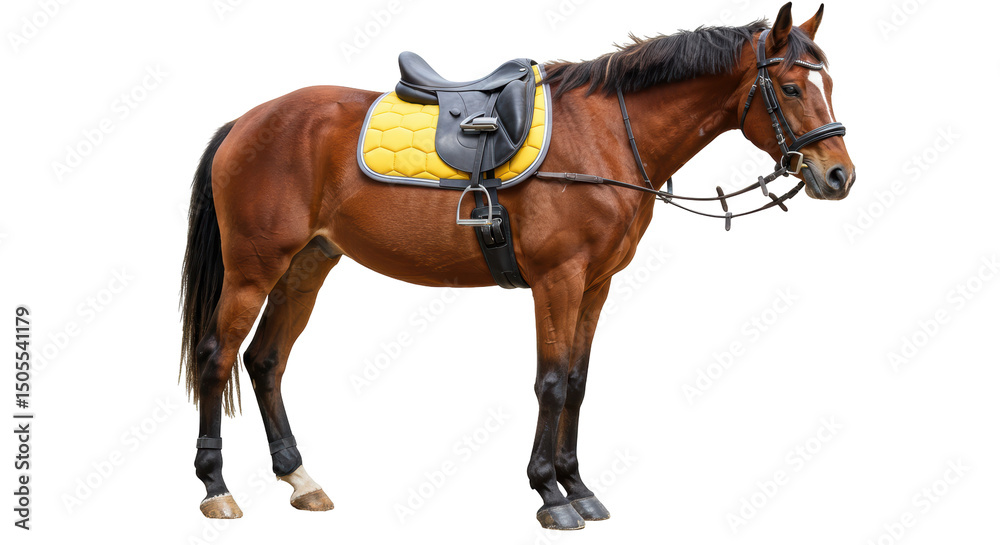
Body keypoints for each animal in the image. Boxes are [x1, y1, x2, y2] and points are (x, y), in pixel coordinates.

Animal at [179, 2, 854, 530]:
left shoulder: (596, 284)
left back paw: (301, 479)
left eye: (828, 83)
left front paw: (578, 487)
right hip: (253, 268)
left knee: (266, 360)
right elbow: (550, 381)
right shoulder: (558, 278)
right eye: (791, 88)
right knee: (216, 355)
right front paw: (549, 494)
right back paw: (216, 488)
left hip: (307, 265)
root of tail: (248, 120)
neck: (605, 135)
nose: (839, 176)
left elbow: (578, 382)